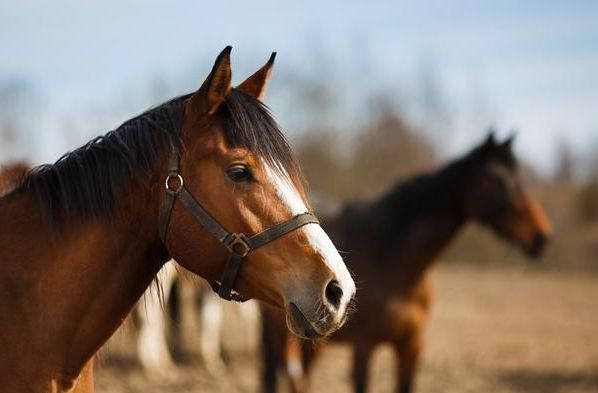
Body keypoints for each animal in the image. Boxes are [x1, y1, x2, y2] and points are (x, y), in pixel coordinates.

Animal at [262, 132, 552, 392]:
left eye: (521, 178)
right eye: (496, 179)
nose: (541, 237)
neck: (394, 258)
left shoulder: (411, 347)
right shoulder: (364, 347)